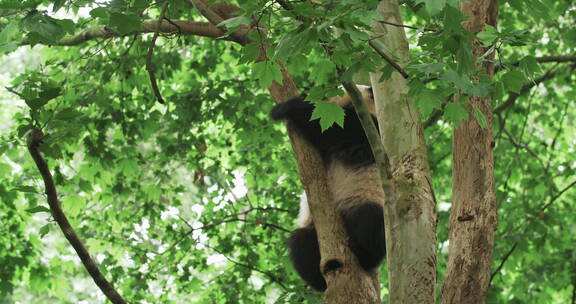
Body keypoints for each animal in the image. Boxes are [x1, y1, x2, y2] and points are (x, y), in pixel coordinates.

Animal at [272, 85, 388, 292]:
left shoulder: (367, 128)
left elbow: (328, 130)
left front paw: (284, 108)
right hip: (312, 228)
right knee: (300, 242)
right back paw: (319, 277)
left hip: (368, 197)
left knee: (371, 221)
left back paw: (362, 253)